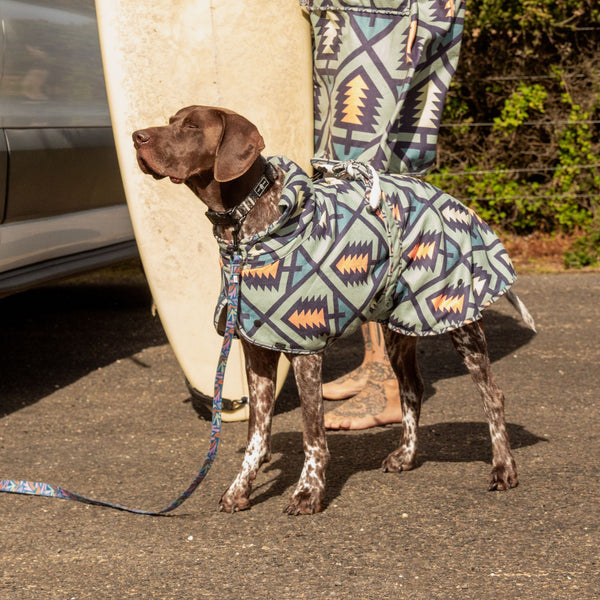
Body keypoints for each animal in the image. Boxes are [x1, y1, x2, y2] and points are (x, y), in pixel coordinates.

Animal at [134, 104, 532, 516]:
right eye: (170, 121)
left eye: (192, 126)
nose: (136, 137)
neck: (247, 227)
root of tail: (456, 202)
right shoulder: (257, 351)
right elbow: (258, 435)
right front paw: (240, 488)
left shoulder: (305, 351)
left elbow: (312, 434)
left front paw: (308, 491)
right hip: (400, 326)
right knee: (412, 390)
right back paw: (406, 456)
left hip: (456, 315)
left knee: (492, 397)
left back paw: (503, 468)